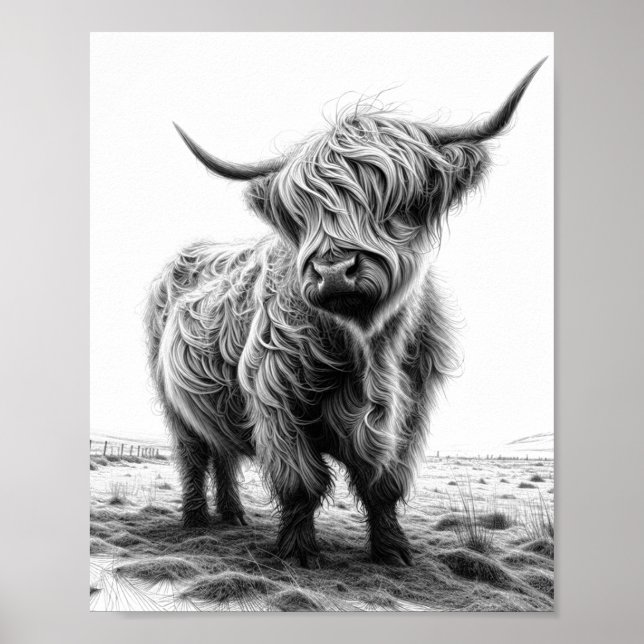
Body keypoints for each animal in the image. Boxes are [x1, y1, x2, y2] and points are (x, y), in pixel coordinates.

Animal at [145, 59, 545, 567]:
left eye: (399, 199)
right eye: (302, 212)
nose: (334, 271)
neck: (369, 346)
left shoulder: (410, 409)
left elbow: (384, 484)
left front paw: (393, 552)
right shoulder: (275, 398)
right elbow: (301, 483)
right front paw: (298, 553)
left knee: (225, 454)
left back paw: (233, 515)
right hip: (174, 405)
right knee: (195, 455)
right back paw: (197, 520)